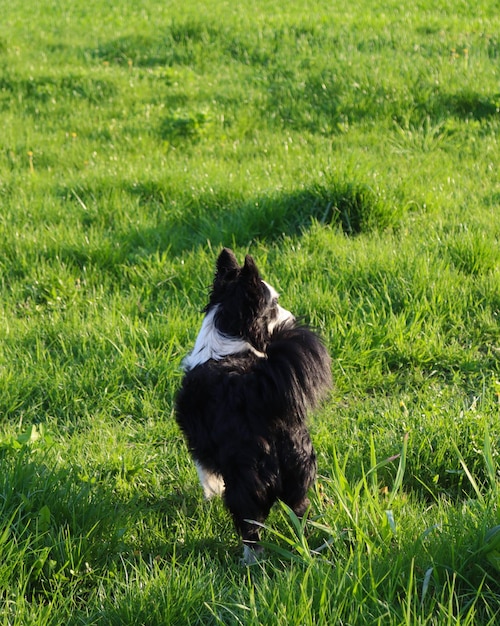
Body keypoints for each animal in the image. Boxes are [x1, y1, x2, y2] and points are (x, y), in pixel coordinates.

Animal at [176, 247, 332, 560]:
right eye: (275, 305)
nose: (291, 318)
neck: (229, 341)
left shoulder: (199, 444)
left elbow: (206, 475)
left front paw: (208, 497)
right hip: (298, 471)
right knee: (301, 513)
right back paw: (306, 548)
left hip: (245, 482)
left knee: (250, 525)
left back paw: (250, 560)